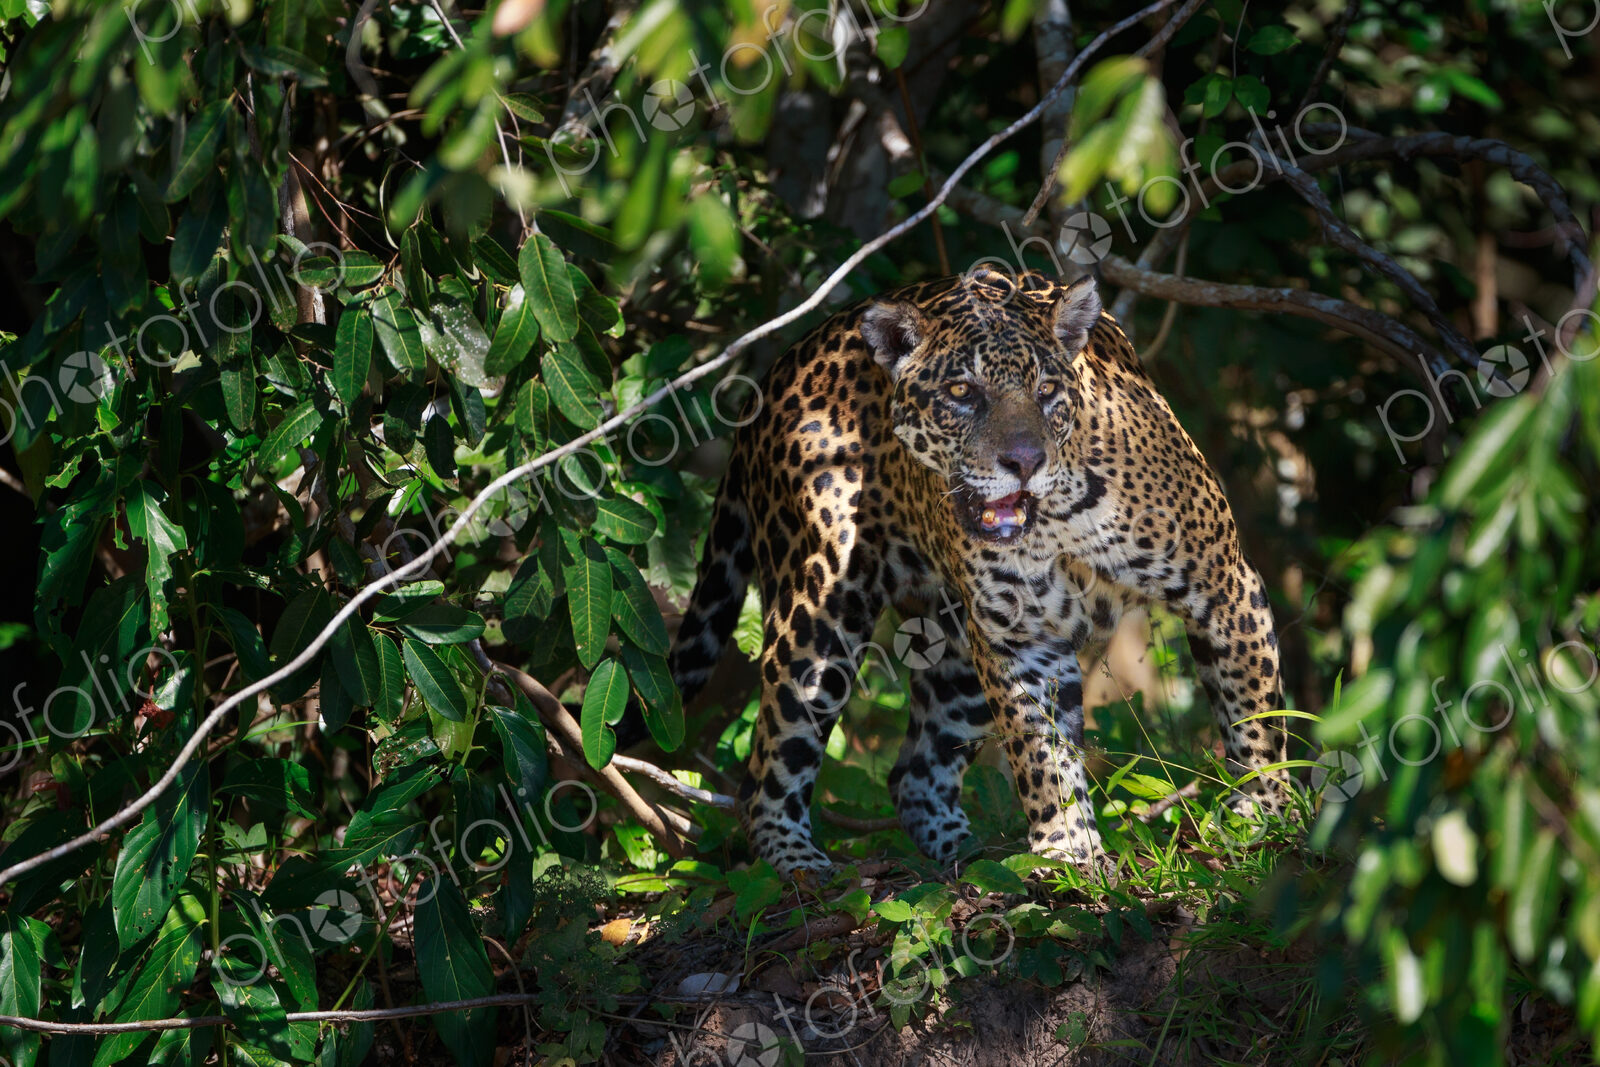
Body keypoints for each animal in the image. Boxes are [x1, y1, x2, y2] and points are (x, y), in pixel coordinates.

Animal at [664, 267, 1292, 876]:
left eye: (1046, 391)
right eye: (962, 393)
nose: (1024, 462)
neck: (1062, 516)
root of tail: (778, 369)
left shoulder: (1226, 588)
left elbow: (1256, 714)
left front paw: (1264, 818)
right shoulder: (1020, 640)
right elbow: (1041, 754)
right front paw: (1069, 851)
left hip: (954, 643)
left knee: (913, 774)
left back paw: (971, 860)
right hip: (818, 614)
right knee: (766, 775)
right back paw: (805, 868)